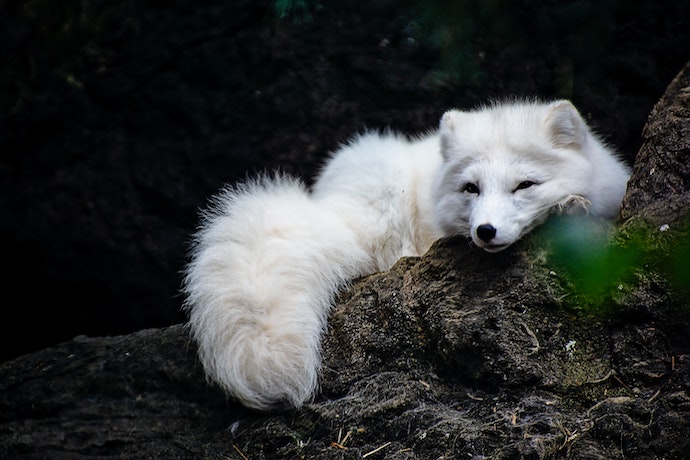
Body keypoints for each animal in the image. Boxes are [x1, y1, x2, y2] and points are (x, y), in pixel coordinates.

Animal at [181, 99, 628, 410]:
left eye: (525, 185)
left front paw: (570, 204)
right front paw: (567, 207)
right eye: (471, 188)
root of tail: (330, 202)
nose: (484, 231)